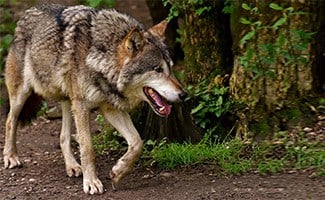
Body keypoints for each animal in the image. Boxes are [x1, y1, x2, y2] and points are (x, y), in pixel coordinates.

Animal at [3, 4, 185, 195]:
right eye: (157, 70)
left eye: (171, 69)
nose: (183, 94)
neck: (100, 59)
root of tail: (28, 11)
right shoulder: (83, 107)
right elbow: (87, 148)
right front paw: (91, 182)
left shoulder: (110, 108)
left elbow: (137, 142)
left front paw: (118, 172)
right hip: (22, 95)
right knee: (10, 121)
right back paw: (10, 157)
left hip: (69, 102)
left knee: (63, 136)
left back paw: (72, 166)